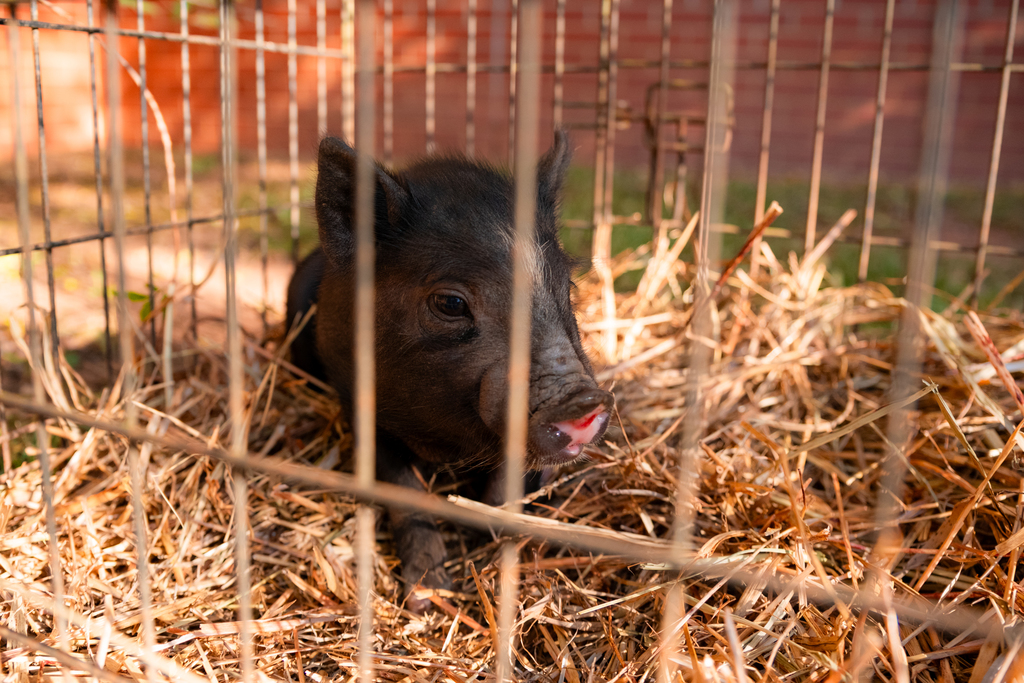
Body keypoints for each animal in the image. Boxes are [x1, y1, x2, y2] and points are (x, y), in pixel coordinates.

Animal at [286, 131, 613, 610]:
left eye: (567, 287)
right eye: (451, 303)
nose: (584, 400)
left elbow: (503, 487)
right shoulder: (358, 401)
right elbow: (404, 491)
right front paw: (428, 595)